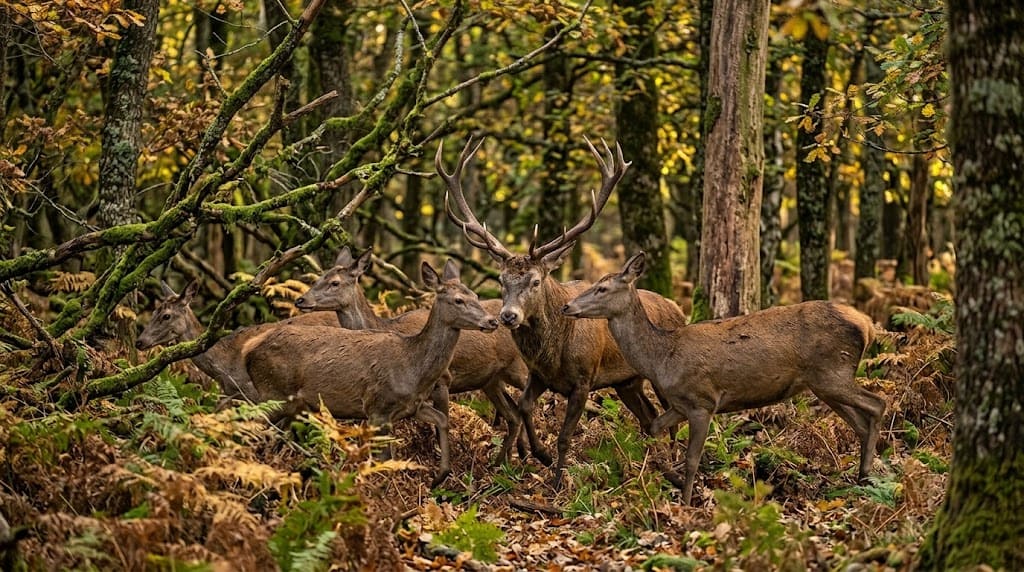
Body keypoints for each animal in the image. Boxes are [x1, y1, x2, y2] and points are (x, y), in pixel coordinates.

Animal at [244, 260, 499, 487]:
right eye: (458, 300)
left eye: (476, 296)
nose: (492, 321)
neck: (413, 367)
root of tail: (249, 351)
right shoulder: (378, 407)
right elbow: (385, 459)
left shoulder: (412, 406)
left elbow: (442, 420)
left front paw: (439, 477)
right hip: (273, 393)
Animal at [293, 246, 530, 461]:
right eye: (319, 277)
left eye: (335, 282)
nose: (301, 300)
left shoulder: (443, 380)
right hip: (491, 380)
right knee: (513, 415)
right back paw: (507, 460)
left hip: (519, 367)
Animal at [436, 136, 689, 488]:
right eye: (501, 280)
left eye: (536, 280)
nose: (508, 316)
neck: (554, 352)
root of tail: (679, 309)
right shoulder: (539, 375)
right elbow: (524, 408)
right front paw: (539, 455)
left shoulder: (584, 379)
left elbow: (565, 436)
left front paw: (558, 481)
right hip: (627, 381)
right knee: (649, 415)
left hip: (661, 374)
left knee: (672, 416)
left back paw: (674, 463)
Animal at [562, 252, 887, 504]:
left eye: (602, 288)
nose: (567, 306)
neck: (662, 358)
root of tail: (868, 325)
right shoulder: (680, 403)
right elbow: (654, 426)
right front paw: (666, 473)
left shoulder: (702, 401)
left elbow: (692, 459)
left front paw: (686, 501)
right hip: (823, 383)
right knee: (860, 422)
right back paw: (862, 477)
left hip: (834, 372)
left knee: (878, 403)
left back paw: (867, 475)